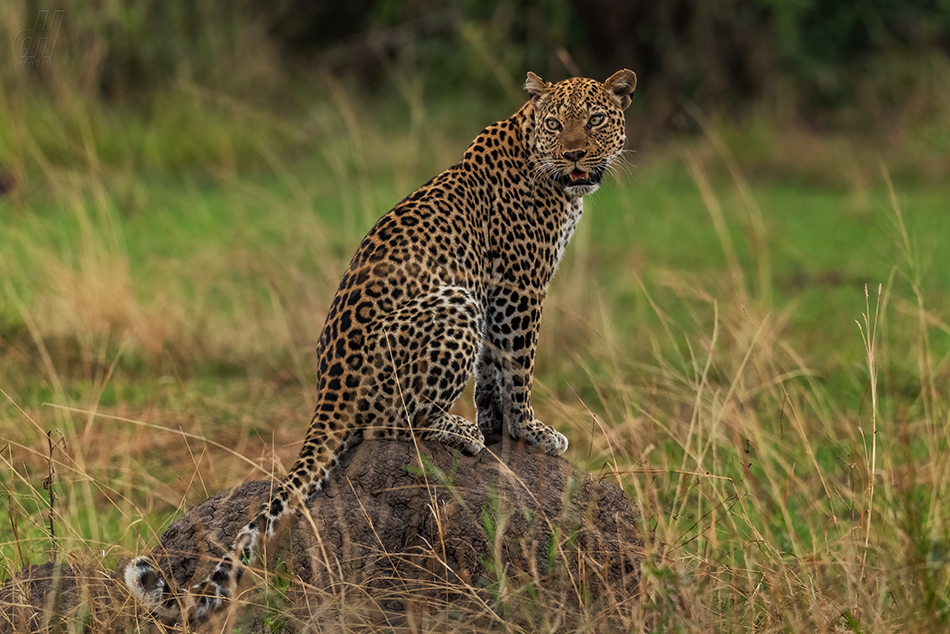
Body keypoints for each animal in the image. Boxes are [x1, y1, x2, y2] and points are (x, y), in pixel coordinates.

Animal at [122, 68, 636, 624]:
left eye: (596, 119)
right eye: (556, 124)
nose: (575, 155)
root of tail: (327, 393)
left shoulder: (497, 291)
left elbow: (490, 374)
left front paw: (497, 425)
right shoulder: (518, 288)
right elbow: (517, 366)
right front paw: (530, 431)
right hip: (454, 302)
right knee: (391, 421)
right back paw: (457, 430)